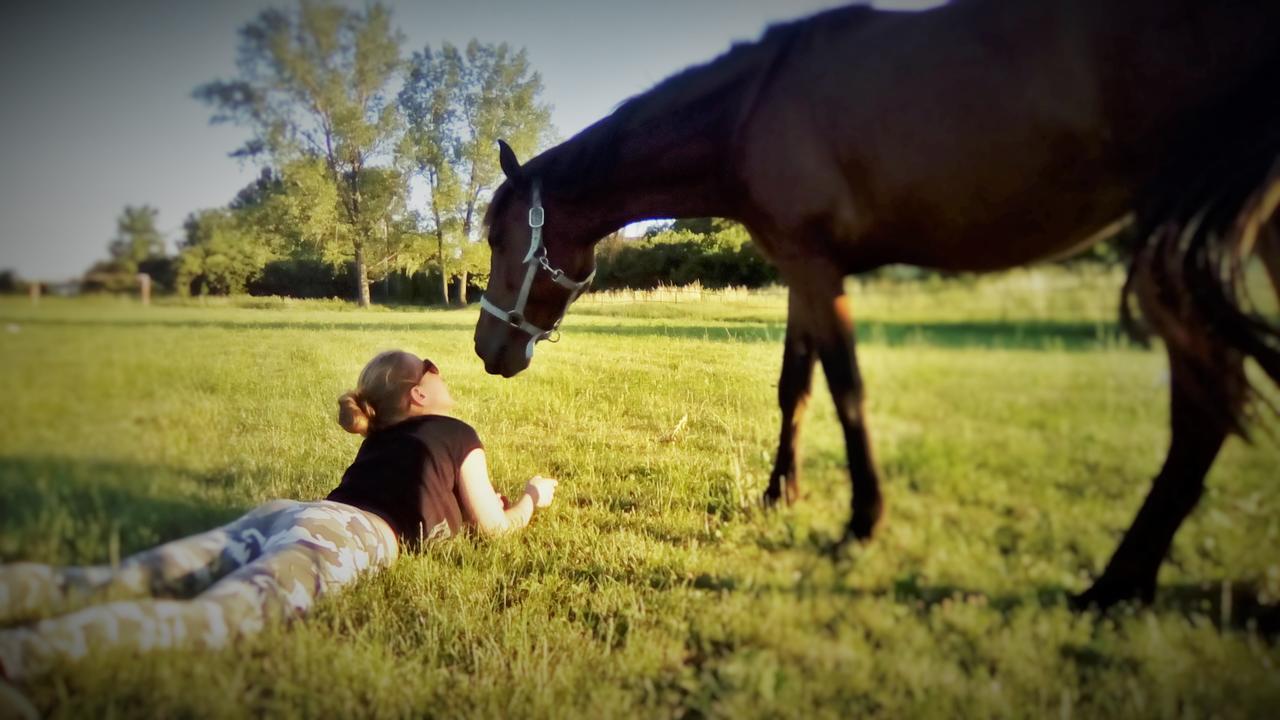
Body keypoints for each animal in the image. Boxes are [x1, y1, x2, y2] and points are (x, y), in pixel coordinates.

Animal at [478, 0, 1280, 604]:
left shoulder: (815, 268)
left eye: (495, 235)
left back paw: (1116, 585)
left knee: (1203, 408)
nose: (488, 348)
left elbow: (846, 390)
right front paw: (780, 493)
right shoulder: (803, 267)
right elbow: (795, 386)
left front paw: (863, 522)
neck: (746, 111)